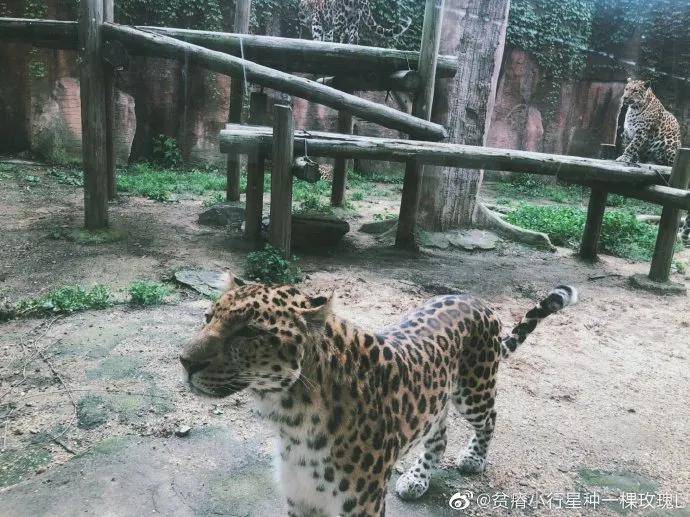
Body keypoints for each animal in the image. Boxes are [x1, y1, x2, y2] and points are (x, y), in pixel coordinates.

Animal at [177, 276, 576, 512]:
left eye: (249, 332)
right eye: (208, 317)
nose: (184, 361)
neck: (291, 415)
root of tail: (475, 299)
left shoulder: (360, 503)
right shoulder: (301, 496)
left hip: (473, 389)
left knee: (490, 416)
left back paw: (473, 459)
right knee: (438, 430)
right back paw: (417, 477)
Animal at [612, 77, 684, 245]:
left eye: (635, 91)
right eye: (626, 88)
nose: (625, 97)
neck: (634, 109)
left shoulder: (641, 133)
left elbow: (632, 147)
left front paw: (623, 158)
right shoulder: (628, 133)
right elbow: (631, 148)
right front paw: (631, 160)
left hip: (669, 145)